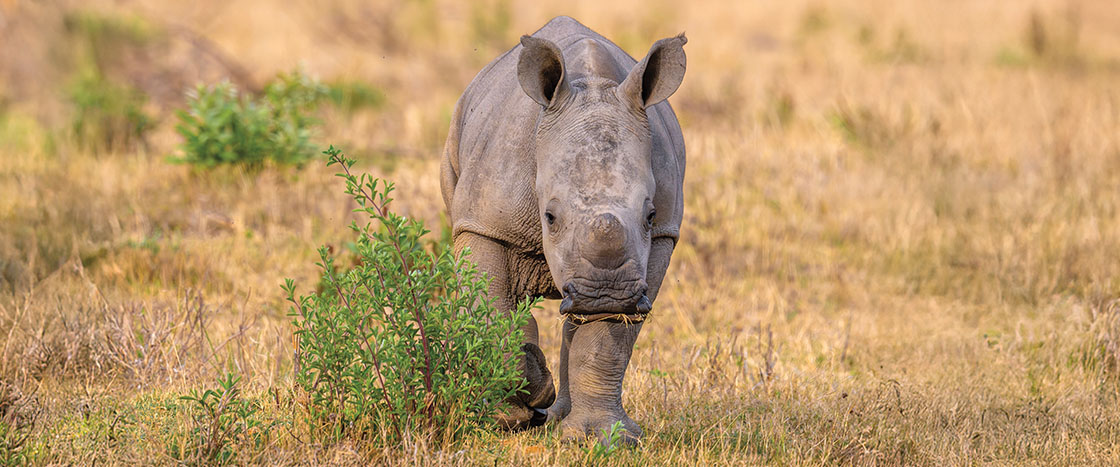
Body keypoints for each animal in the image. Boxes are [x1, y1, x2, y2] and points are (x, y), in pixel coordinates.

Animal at [440, 16, 686, 444]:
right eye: (550, 217)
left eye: (650, 215)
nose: (605, 294)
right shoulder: (483, 223)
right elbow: (492, 308)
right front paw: (513, 412)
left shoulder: (661, 238)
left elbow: (609, 342)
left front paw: (605, 439)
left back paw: (558, 420)